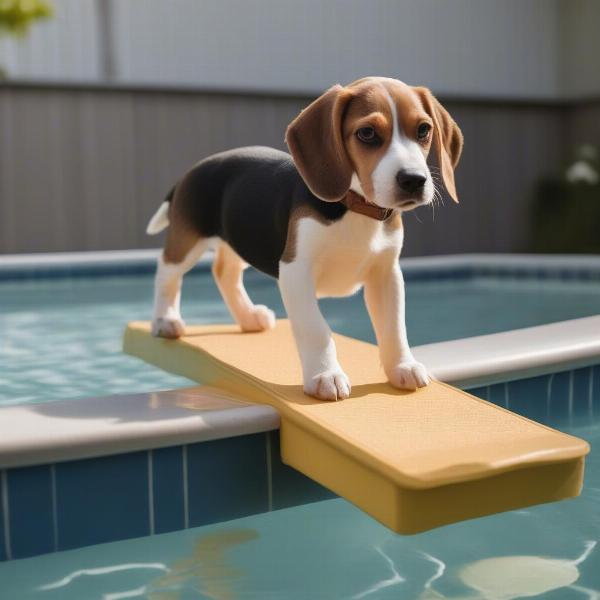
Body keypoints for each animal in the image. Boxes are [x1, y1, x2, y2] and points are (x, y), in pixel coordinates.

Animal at [145, 77, 464, 400]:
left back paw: (248, 317)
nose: (413, 180)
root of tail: (192, 170)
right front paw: (326, 376)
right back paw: (166, 320)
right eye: (367, 133)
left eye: (423, 130)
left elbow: (394, 327)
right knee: (167, 271)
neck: (355, 207)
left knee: (225, 272)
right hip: (188, 241)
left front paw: (402, 366)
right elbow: (316, 328)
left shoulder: (386, 274)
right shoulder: (296, 270)